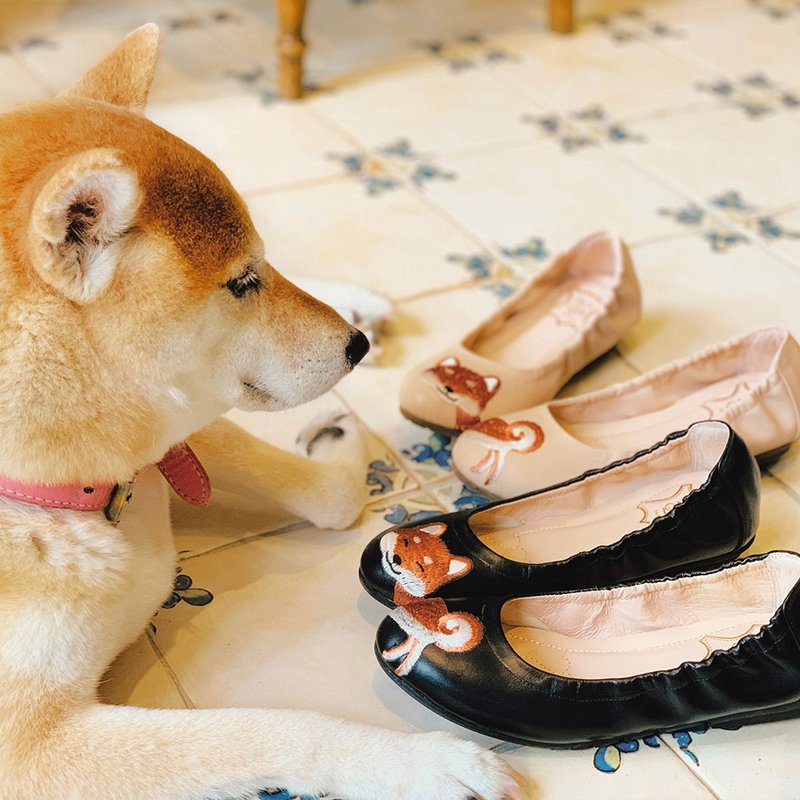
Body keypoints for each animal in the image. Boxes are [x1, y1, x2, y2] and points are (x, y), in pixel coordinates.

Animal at [0, 25, 520, 800]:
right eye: (241, 283)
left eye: (256, 268)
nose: (355, 345)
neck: (91, 493)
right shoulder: (32, 752)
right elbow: (266, 730)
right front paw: (419, 764)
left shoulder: (179, 435)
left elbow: (325, 494)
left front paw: (337, 441)